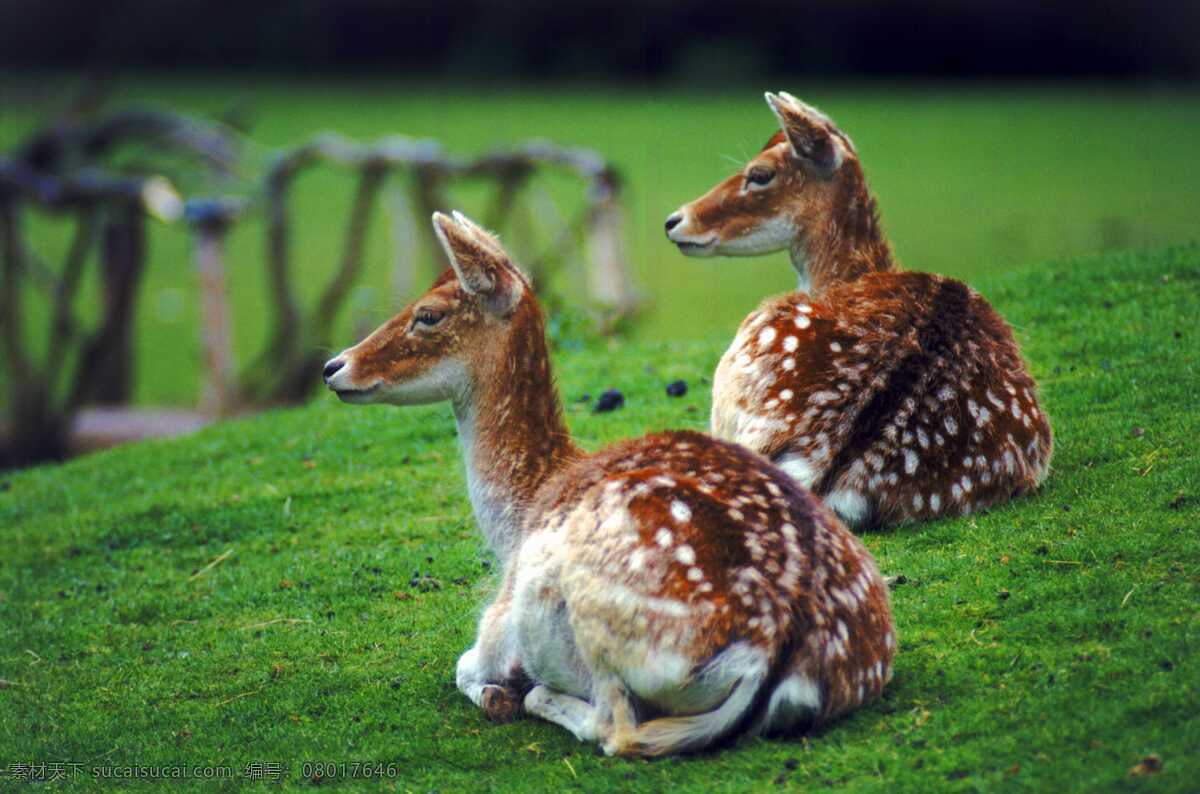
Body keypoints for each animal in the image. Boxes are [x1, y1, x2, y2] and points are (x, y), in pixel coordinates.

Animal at [322, 211, 896, 757]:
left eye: (428, 314)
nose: (334, 366)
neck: (519, 516)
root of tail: (771, 649)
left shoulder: (498, 623)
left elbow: (464, 666)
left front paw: (499, 692)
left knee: (614, 725)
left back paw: (537, 695)